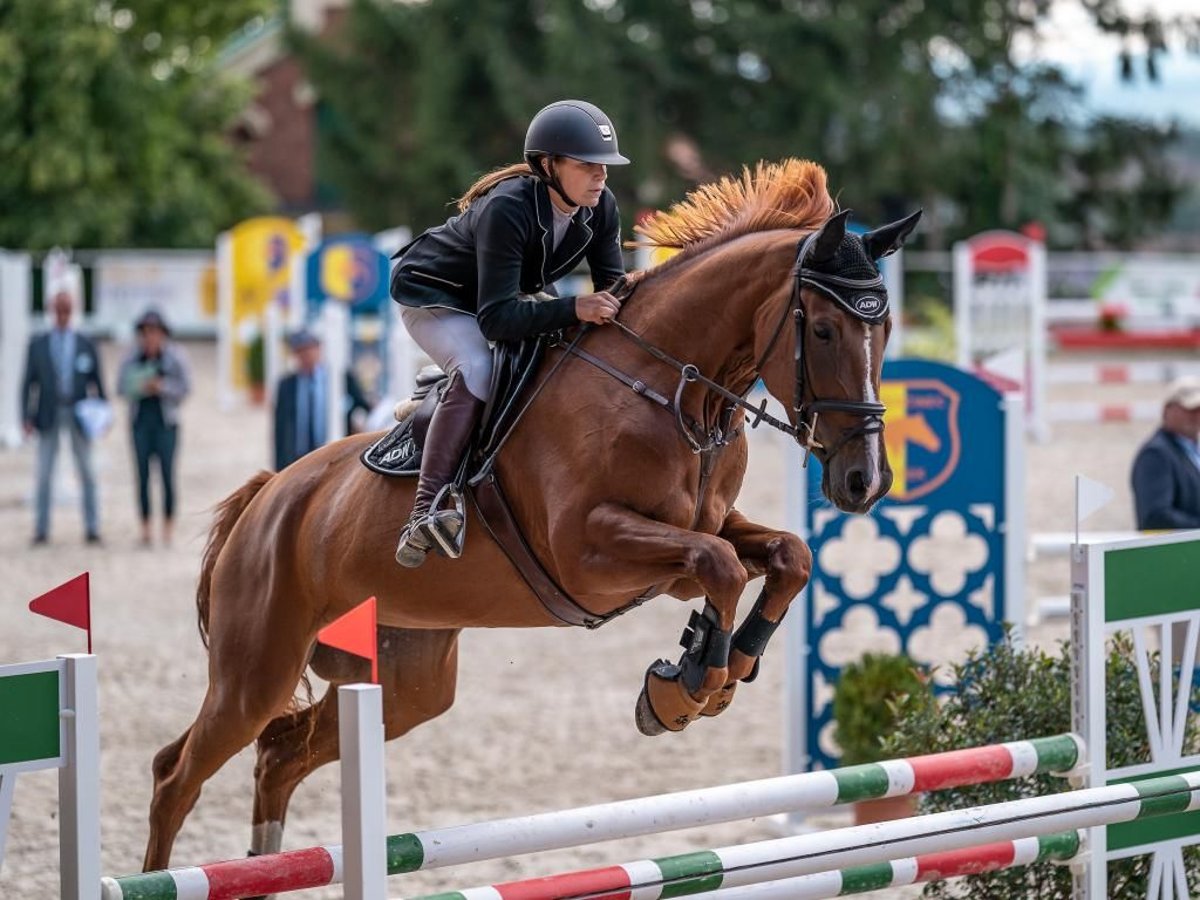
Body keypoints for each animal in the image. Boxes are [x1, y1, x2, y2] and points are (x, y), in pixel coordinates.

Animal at [145, 158, 921, 868]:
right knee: (177, 774)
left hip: (405, 680)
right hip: (257, 669)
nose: (865, 481)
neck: (673, 390)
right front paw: (688, 685)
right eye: (824, 330)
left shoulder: (699, 530)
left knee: (280, 752)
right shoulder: (590, 553)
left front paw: (721, 664)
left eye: (886, 333)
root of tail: (268, 494)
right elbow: (723, 566)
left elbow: (786, 556)